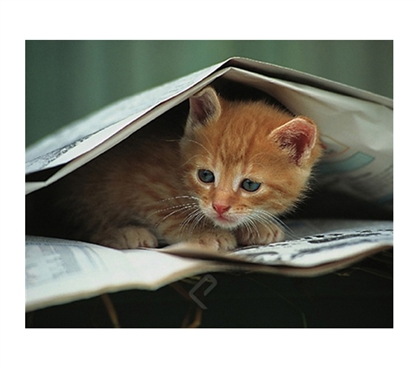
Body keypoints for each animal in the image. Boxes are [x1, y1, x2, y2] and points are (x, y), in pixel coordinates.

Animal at [46, 85, 324, 252]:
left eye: (250, 185)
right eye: (206, 176)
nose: (219, 206)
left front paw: (256, 225)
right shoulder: (143, 184)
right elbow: (169, 214)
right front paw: (205, 233)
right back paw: (126, 234)